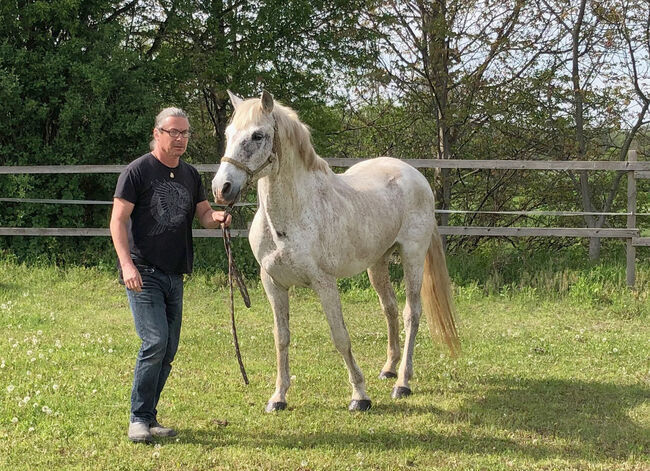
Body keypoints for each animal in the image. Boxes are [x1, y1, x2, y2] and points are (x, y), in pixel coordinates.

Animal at [211, 90, 456, 412]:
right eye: (229, 134)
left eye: (257, 135)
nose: (221, 188)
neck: (289, 220)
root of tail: (414, 174)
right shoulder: (273, 284)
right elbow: (281, 338)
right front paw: (278, 397)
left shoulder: (324, 283)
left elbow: (340, 336)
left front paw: (360, 396)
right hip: (377, 263)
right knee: (389, 308)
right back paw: (389, 369)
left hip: (412, 256)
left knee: (410, 313)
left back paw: (403, 382)